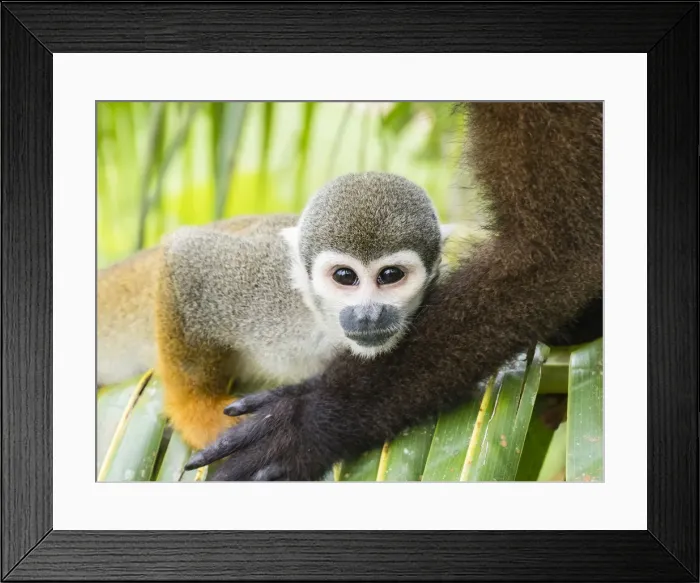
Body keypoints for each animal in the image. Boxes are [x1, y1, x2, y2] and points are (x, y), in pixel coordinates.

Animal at [98, 171, 454, 451]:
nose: (368, 315)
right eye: (344, 276)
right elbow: (186, 256)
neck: (321, 323)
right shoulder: (260, 283)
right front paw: (196, 411)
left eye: (391, 275)